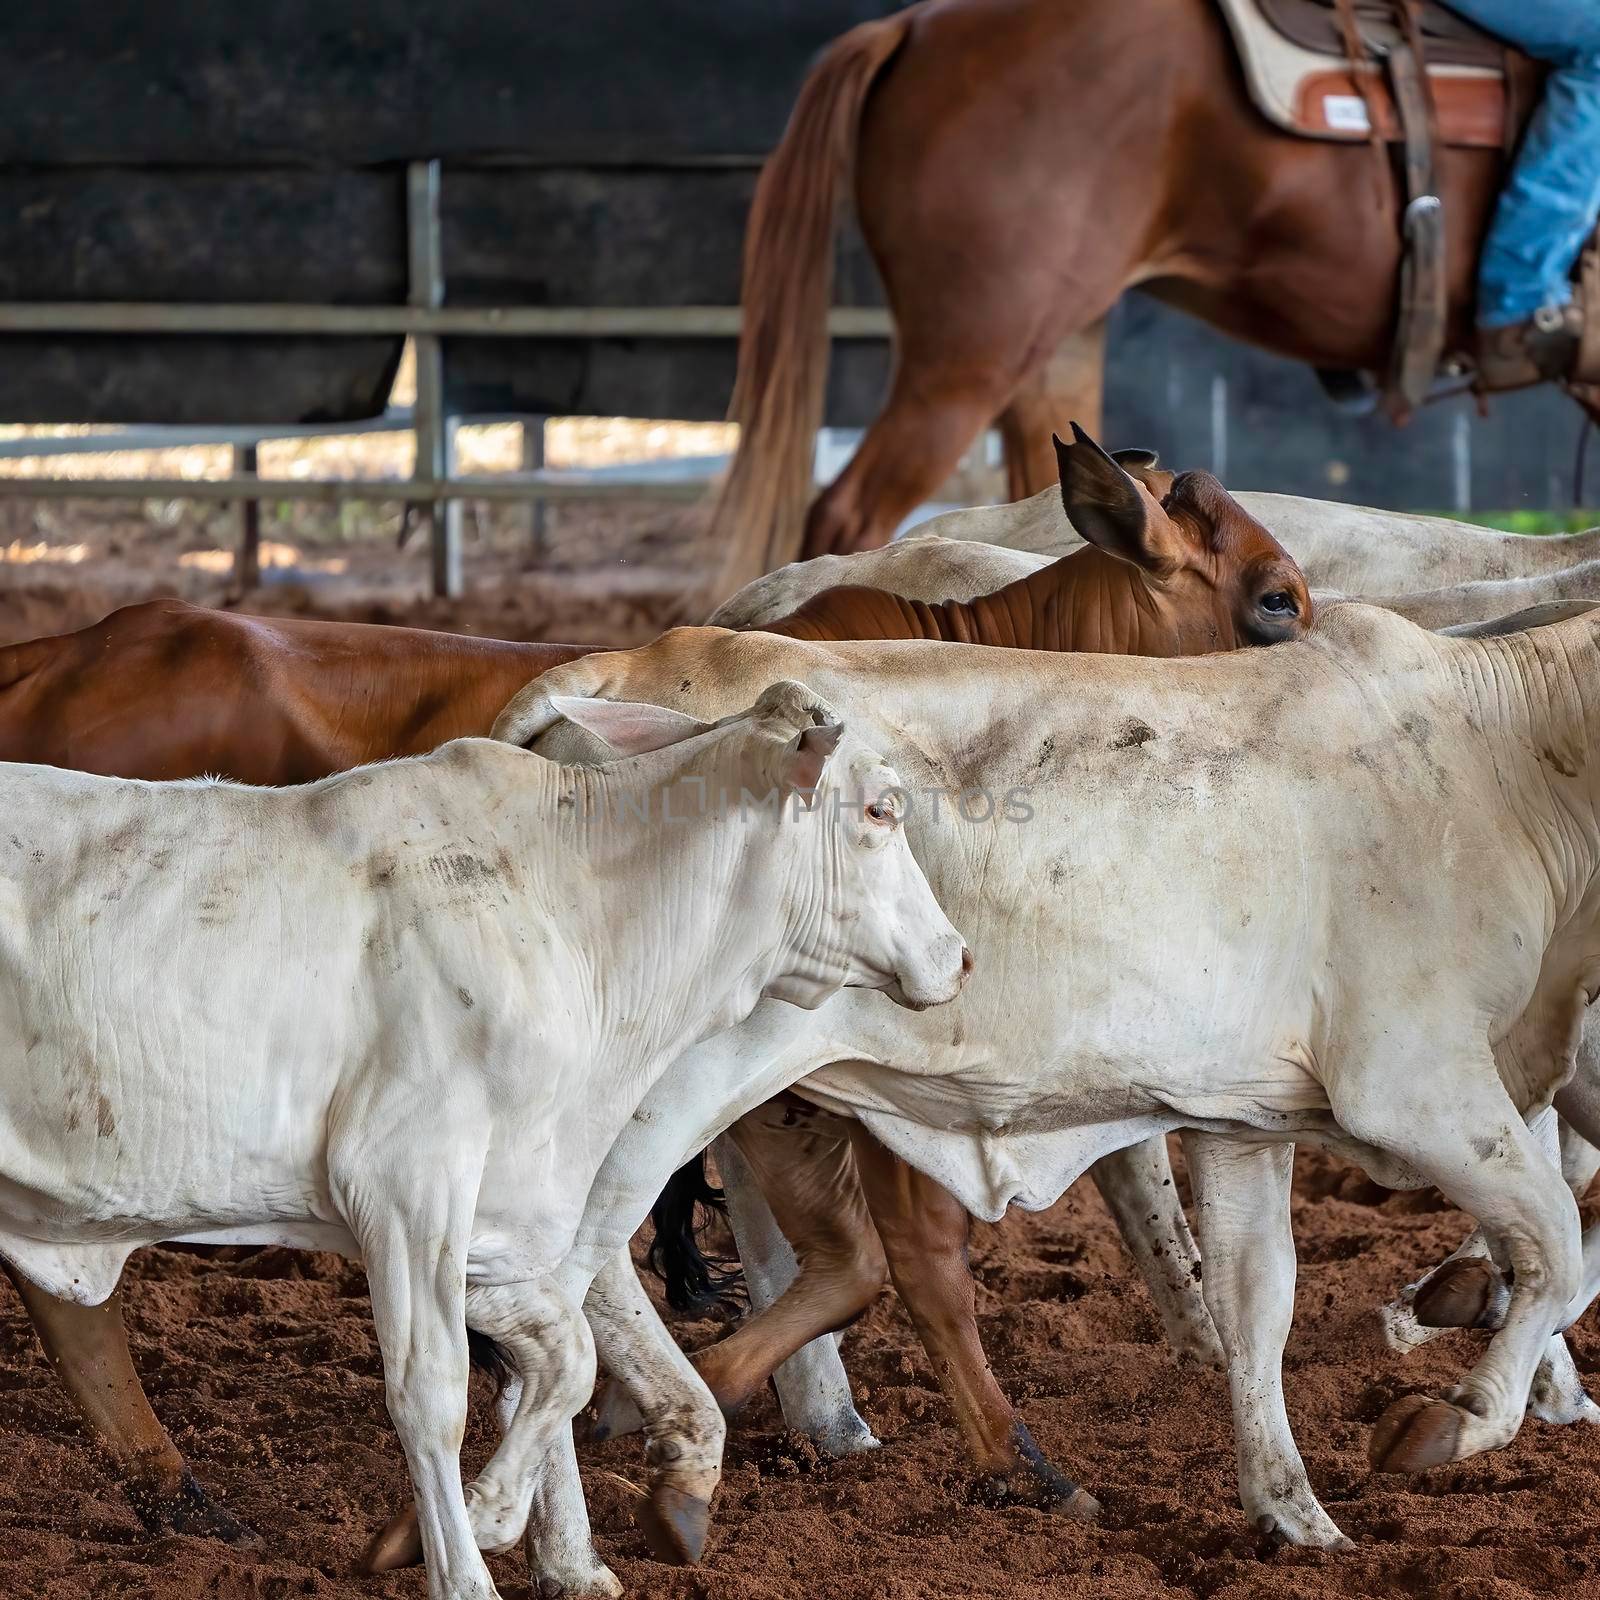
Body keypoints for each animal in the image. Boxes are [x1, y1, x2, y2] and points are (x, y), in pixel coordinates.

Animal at [0, 684, 960, 1600]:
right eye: (882, 810)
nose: (958, 957)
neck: (573, 918)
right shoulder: (406, 1187)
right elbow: (432, 1395)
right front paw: (467, 1568)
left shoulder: (501, 1223)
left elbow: (568, 1361)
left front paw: (505, 1511)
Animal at [496, 614, 1600, 1561]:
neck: (1501, 757)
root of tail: (629, 667)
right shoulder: (1416, 1081)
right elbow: (1552, 1242)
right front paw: (1454, 1418)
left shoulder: (1249, 1116)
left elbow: (1256, 1301)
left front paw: (1295, 1516)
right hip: (673, 1084)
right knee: (578, 1260)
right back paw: (658, 1465)